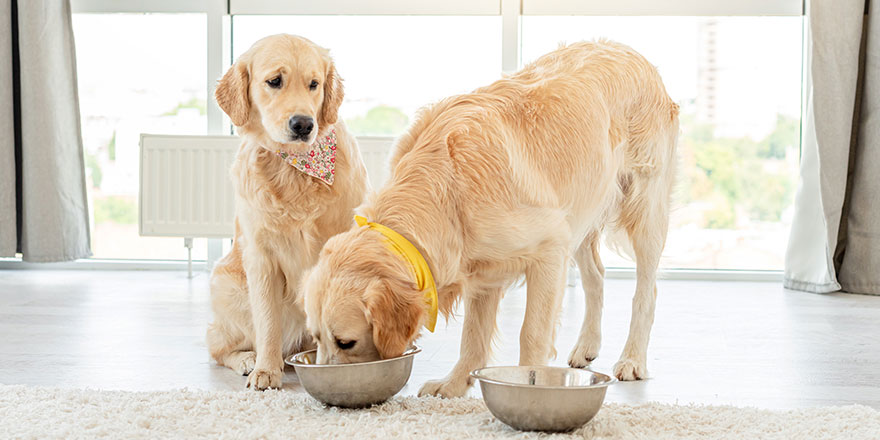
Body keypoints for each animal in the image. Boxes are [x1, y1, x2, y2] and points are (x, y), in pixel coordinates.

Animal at [206, 35, 368, 392]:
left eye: (314, 84)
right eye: (274, 81)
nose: (304, 124)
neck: (295, 169)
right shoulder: (261, 255)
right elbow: (268, 321)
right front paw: (266, 371)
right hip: (226, 285)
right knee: (217, 346)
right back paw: (248, 360)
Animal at [300, 39, 676, 396]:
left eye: (346, 342)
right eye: (315, 338)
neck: (447, 191)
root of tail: (631, 52)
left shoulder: (549, 247)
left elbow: (531, 332)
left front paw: (528, 386)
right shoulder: (483, 270)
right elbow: (473, 336)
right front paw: (454, 384)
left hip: (643, 206)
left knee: (648, 290)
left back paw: (632, 359)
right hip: (581, 211)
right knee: (596, 275)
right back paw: (586, 346)